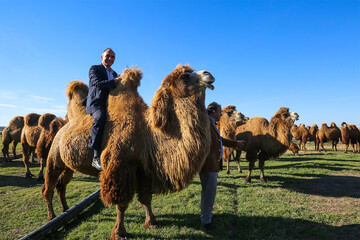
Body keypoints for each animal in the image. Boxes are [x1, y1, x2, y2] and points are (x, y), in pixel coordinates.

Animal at [42, 64, 217, 239]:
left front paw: (151, 222)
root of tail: (62, 126)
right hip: (54, 157)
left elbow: (146, 198)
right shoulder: (120, 168)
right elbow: (122, 204)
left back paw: (65, 210)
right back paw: (51, 218)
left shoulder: (144, 170)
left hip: (68, 165)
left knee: (61, 185)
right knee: (49, 186)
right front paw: (119, 232)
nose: (208, 74)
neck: (147, 133)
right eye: (184, 76)